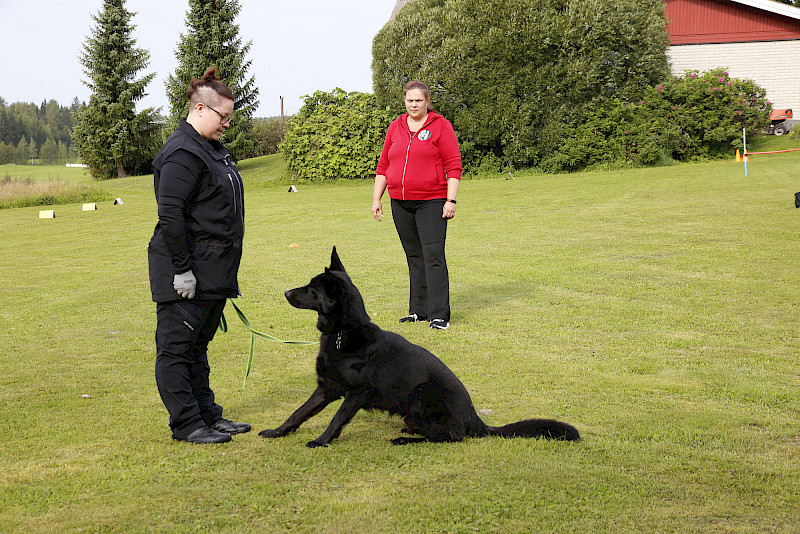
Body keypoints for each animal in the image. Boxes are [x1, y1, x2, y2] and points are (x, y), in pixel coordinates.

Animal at [260, 248, 580, 448]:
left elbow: (336, 419)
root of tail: (474, 419)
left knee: (451, 437)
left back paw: (407, 439)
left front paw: (321, 441)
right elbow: (298, 413)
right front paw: (277, 432)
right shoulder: (326, 388)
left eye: (312, 289)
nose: (285, 292)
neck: (343, 333)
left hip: (420, 395)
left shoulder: (356, 393)